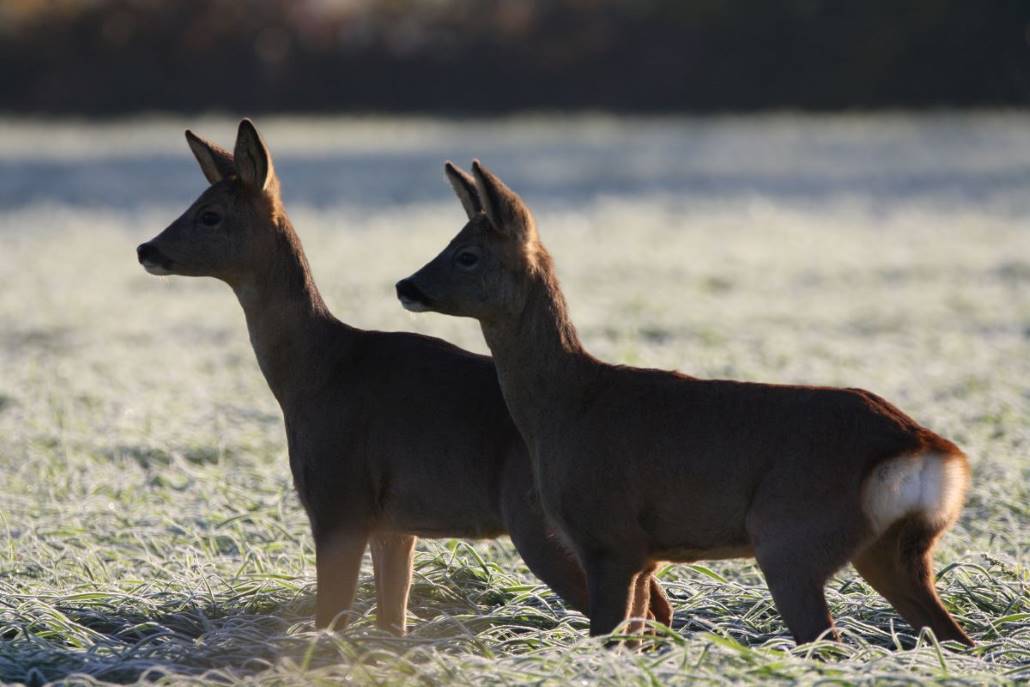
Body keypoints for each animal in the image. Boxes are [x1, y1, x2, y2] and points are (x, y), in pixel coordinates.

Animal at [136, 121, 671, 638]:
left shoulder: (338, 497)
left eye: (209, 214)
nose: (146, 248)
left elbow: (330, 616)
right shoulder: (395, 522)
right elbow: (392, 619)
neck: (317, 370)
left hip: (549, 524)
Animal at [391, 159, 972, 646]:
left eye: (467, 256)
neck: (567, 406)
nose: (406, 285)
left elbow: (607, 635)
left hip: (793, 535)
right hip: (894, 549)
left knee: (829, 641)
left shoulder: (609, 535)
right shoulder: (646, 555)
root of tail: (928, 449)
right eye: (450, 242)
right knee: (955, 639)